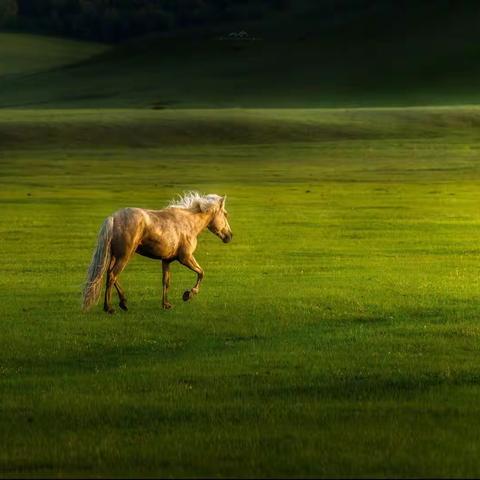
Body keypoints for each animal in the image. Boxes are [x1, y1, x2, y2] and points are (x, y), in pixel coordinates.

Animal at [82, 193, 232, 314]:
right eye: (225, 214)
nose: (229, 236)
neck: (187, 222)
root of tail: (113, 218)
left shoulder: (166, 260)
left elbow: (166, 281)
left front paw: (166, 304)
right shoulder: (185, 258)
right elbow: (201, 273)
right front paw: (188, 294)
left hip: (115, 256)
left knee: (110, 275)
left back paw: (123, 303)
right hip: (124, 256)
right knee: (113, 275)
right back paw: (109, 308)